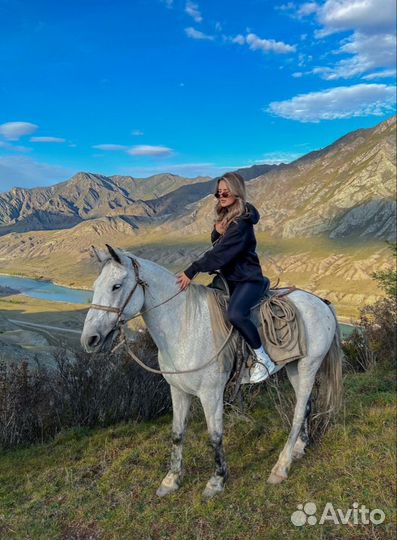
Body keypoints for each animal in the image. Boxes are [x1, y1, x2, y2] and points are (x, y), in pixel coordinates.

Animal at [81, 245, 344, 498]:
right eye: (95, 286)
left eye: (116, 286)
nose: (90, 339)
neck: (185, 325)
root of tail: (321, 302)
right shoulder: (178, 390)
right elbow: (177, 432)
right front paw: (171, 480)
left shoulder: (211, 393)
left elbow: (215, 435)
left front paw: (217, 481)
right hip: (293, 368)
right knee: (307, 405)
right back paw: (300, 448)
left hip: (308, 367)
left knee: (298, 412)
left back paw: (281, 466)